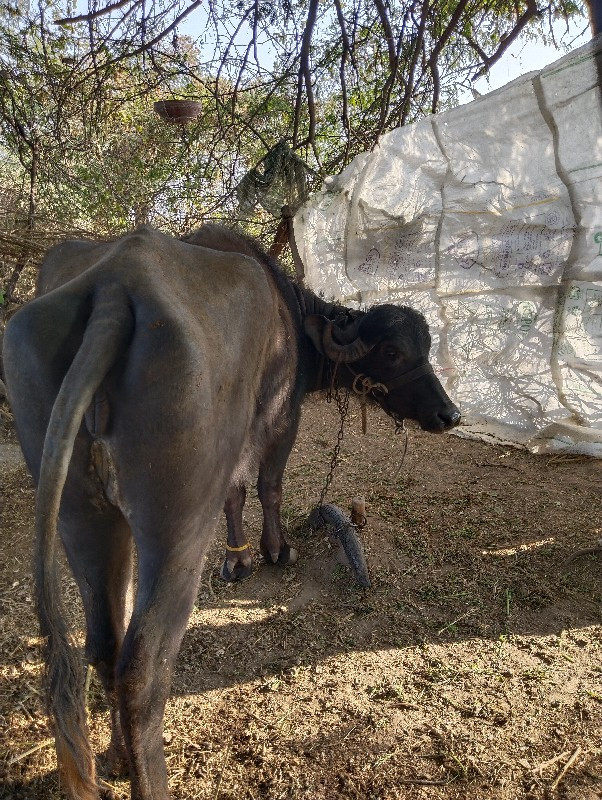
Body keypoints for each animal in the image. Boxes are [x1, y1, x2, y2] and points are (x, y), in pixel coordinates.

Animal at [2, 225, 460, 800]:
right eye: (395, 351)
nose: (449, 414)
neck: (292, 320)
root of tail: (112, 291)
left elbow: (234, 495)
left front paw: (237, 559)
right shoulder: (281, 420)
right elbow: (266, 486)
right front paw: (273, 551)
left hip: (82, 515)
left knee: (105, 643)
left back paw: (119, 758)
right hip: (175, 531)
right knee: (143, 671)